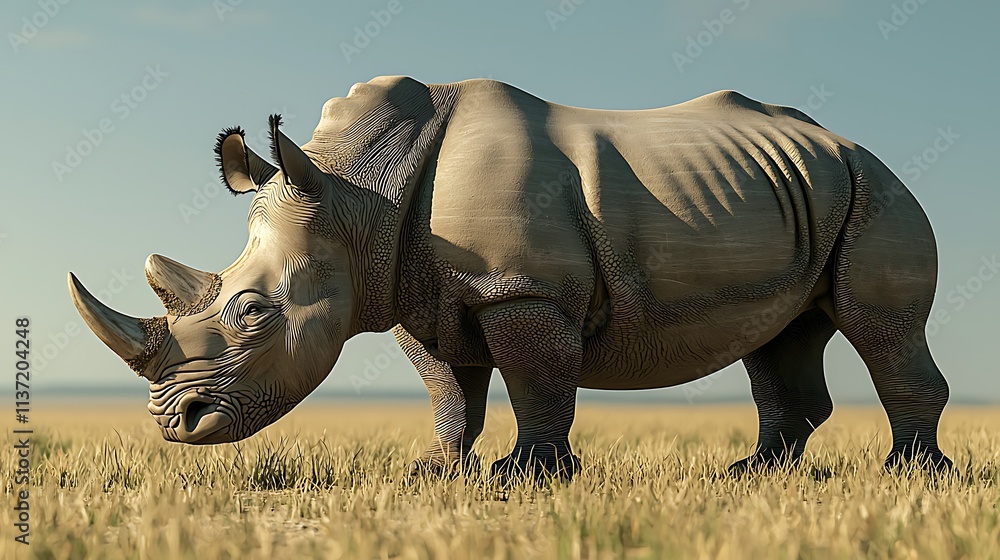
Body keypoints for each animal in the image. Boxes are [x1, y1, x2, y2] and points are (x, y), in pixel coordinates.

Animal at [69, 76, 952, 479]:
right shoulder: (415, 291)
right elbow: (450, 389)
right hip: (807, 189)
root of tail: (851, 144)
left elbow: (536, 379)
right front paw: (435, 469)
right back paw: (754, 474)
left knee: (879, 327)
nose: (175, 427)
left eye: (252, 312)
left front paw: (526, 475)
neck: (356, 198)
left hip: (877, 191)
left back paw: (910, 475)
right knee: (781, 334)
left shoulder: (521, 289)